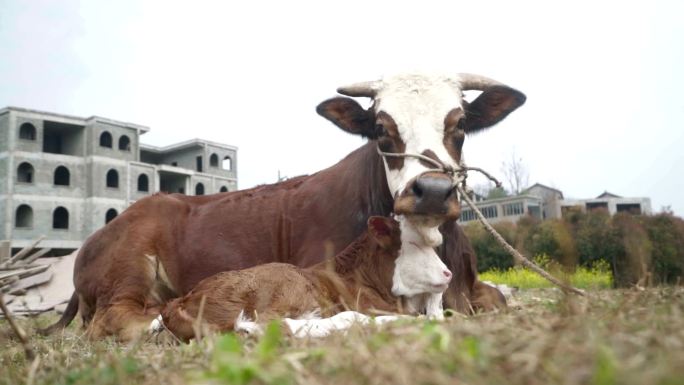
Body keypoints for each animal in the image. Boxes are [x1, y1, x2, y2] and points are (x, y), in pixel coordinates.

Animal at [156, 216, 454, 340]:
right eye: (413, 244)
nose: (448, 273)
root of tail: (183, 300)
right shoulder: (369, 304)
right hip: (285, 285)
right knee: (273, 323)